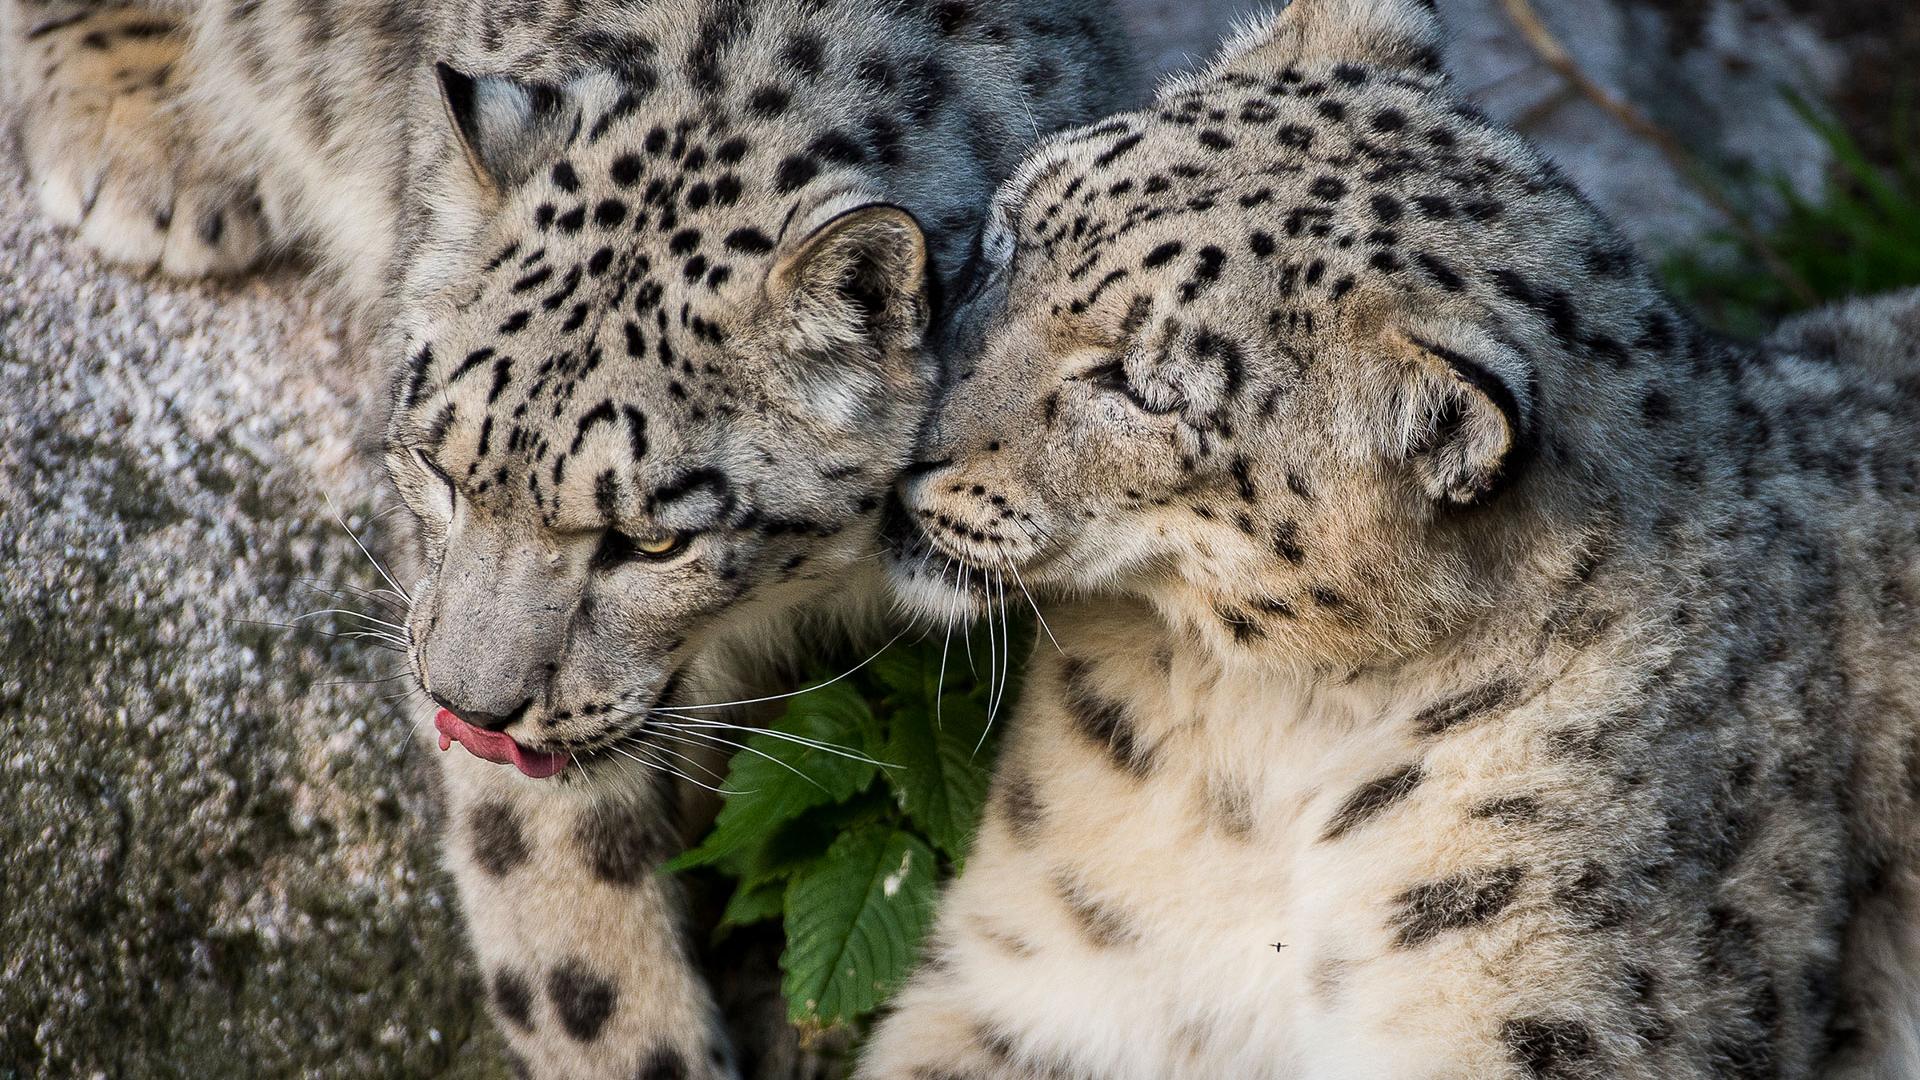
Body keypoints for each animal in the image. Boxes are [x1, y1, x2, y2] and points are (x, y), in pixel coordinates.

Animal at [867, 2, 1920, 1076]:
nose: (903, 446)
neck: (1251, 749)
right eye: (1006, 240)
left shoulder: (1542, 1017)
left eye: (1142, 387)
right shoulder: (1039, 984)